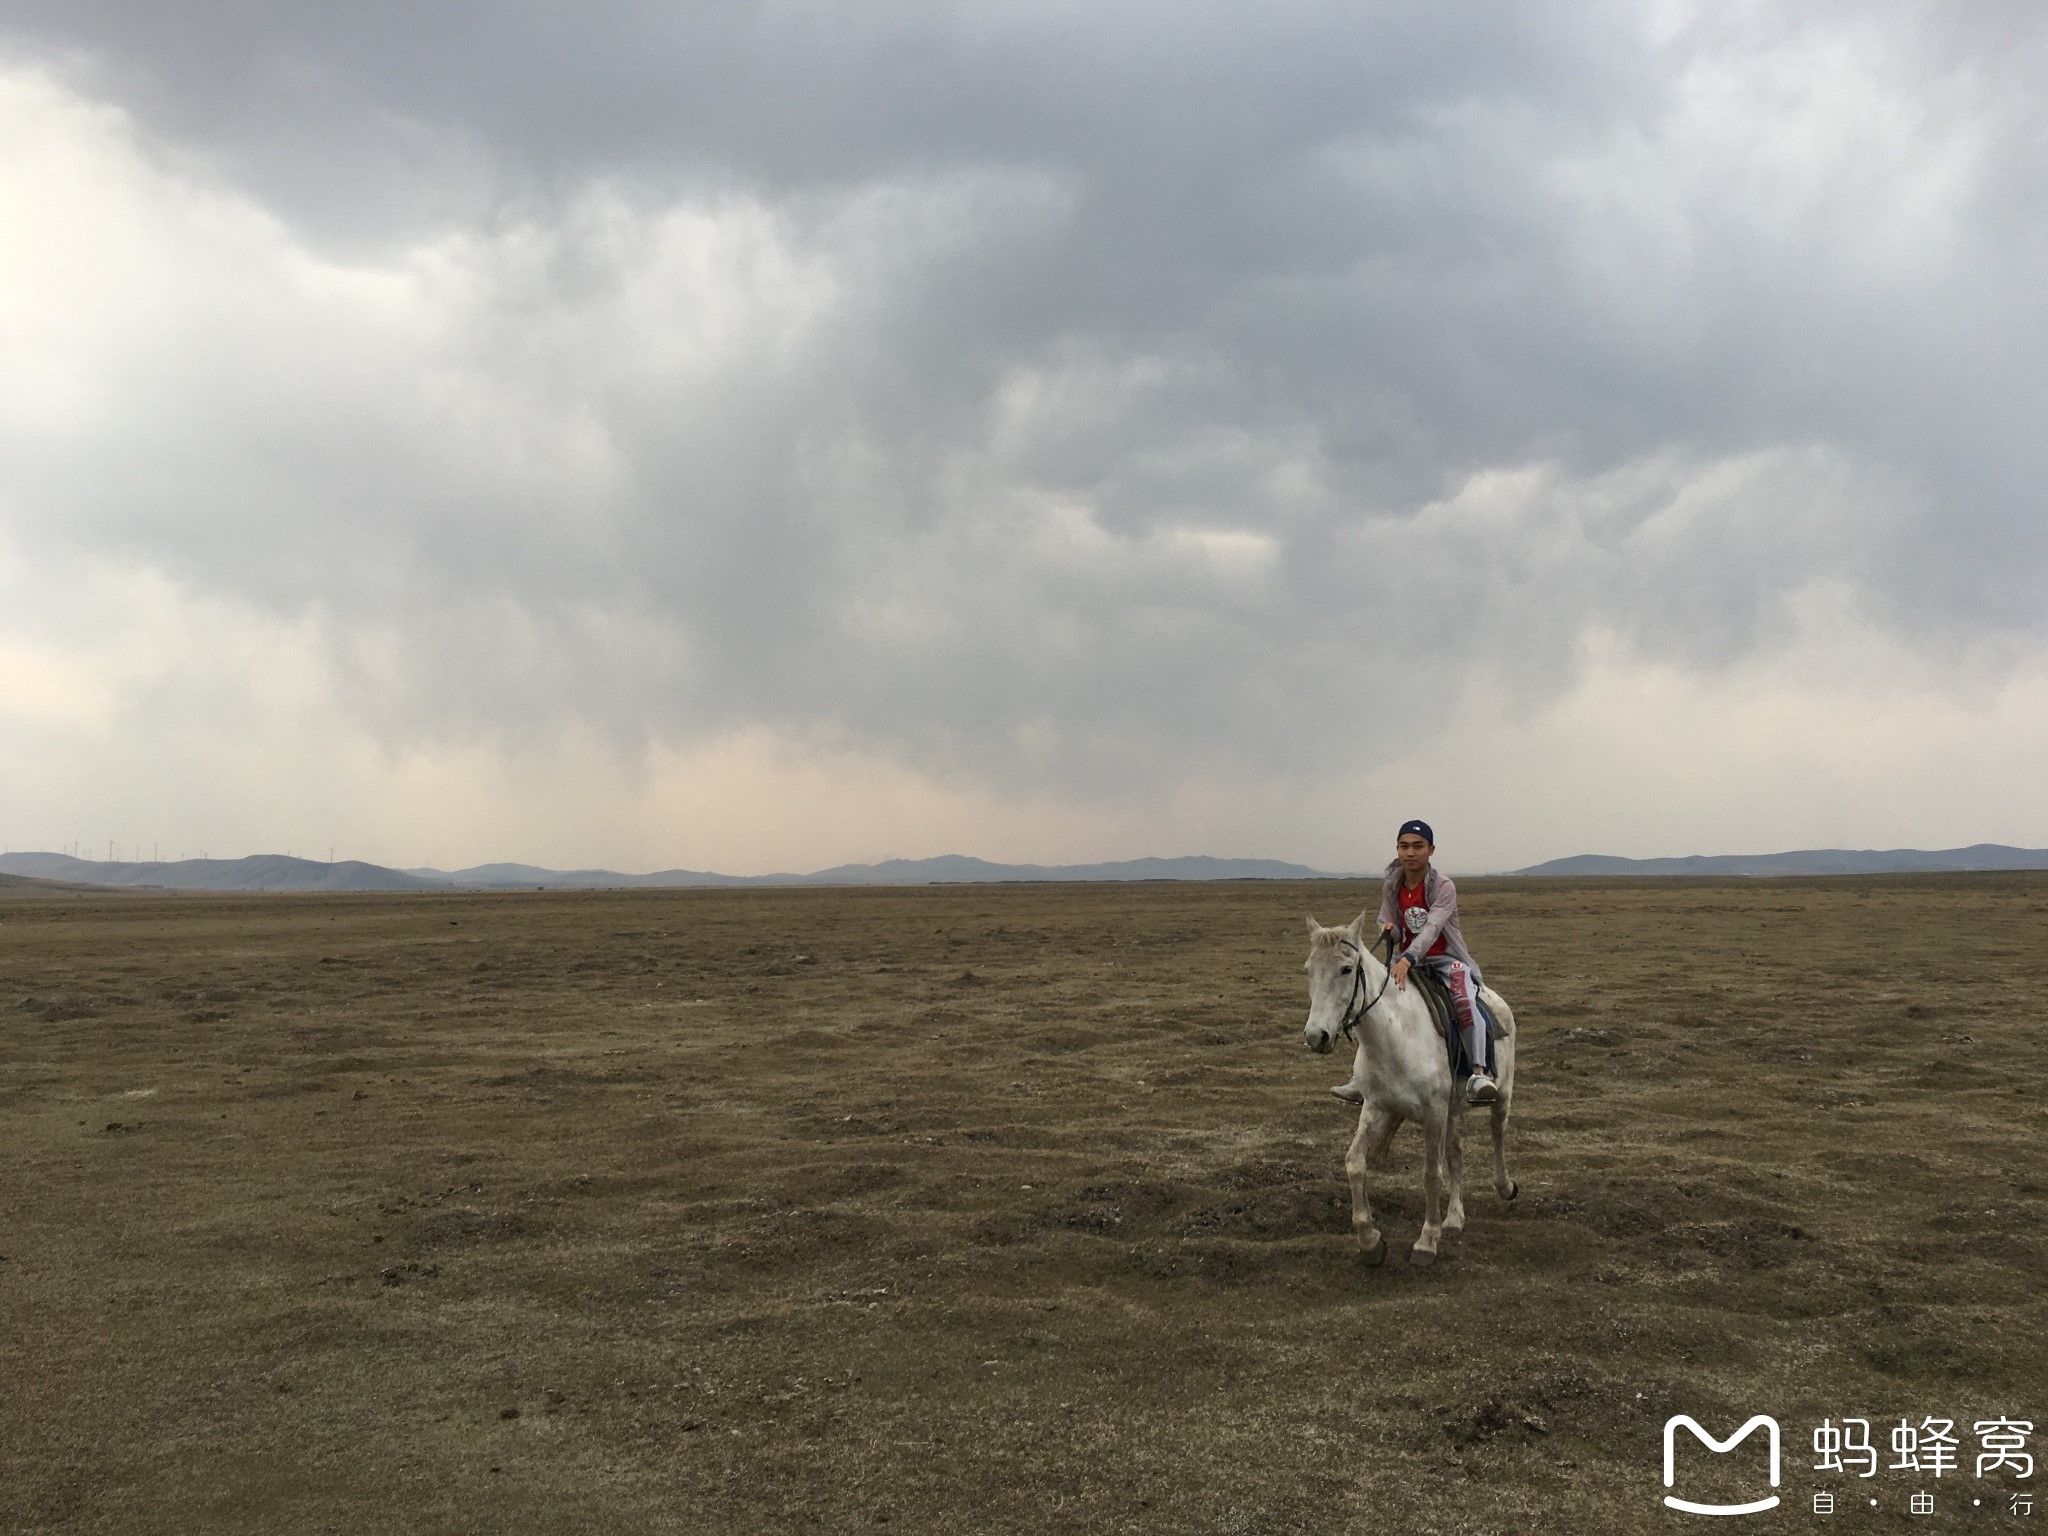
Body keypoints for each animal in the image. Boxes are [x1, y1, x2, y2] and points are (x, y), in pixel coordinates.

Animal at [1302, 913, 1515, 1261]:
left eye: (1346, 969)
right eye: (1308, 969)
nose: (1315, 1036)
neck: (1394, 1037)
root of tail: (1497, 1001)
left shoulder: (1433, 1112)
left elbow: (1431, 1173)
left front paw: (1427, 1241)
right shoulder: (1377, 1108)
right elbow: (1354, 1163)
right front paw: (1370, 1241)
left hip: (1501, 1094)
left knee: (1497, 1131)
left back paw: (1504, 1186)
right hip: (1454, 1108)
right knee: (1456, 1151)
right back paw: (1454, 1218)